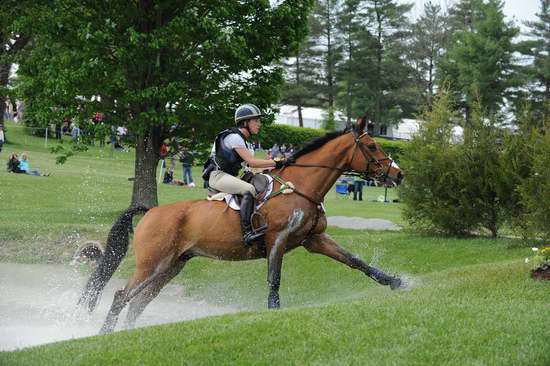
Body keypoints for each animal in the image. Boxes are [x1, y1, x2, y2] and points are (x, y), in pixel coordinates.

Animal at [78, 116, 406, 334]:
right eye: (372, 146)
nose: (399, 174)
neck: (301, 188)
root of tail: (151, 212)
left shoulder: (314, 240)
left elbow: (355, 261)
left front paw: (395, 282)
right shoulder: (277, 239)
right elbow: (274, 279)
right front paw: (273, 312)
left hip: (172, 266)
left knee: (138, 302)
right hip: (152, 264)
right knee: (122, 296)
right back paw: (105, 334)